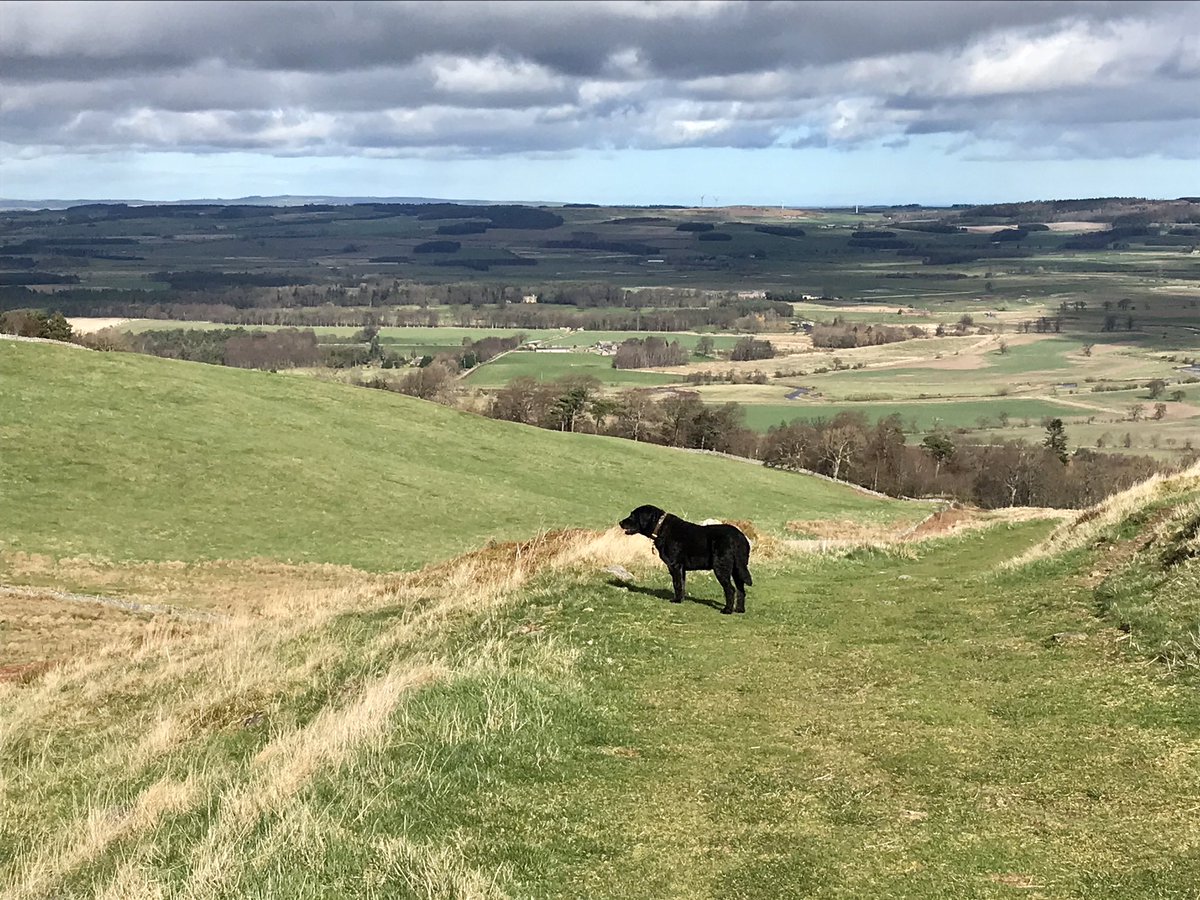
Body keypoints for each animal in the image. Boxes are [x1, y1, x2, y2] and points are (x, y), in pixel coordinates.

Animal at [619, 504, 748, 619]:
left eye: (632, 515)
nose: (620, 522)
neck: (660, 527)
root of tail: (740, 537)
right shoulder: (682, 568)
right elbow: (682, 584)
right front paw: (681, 599)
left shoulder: (674, 565)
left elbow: (677, 584)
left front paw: (676, 600)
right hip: (738, 569)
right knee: (741, 589)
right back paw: (739, 609)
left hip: (721, 568)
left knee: (730, 589)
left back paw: (727, 610)